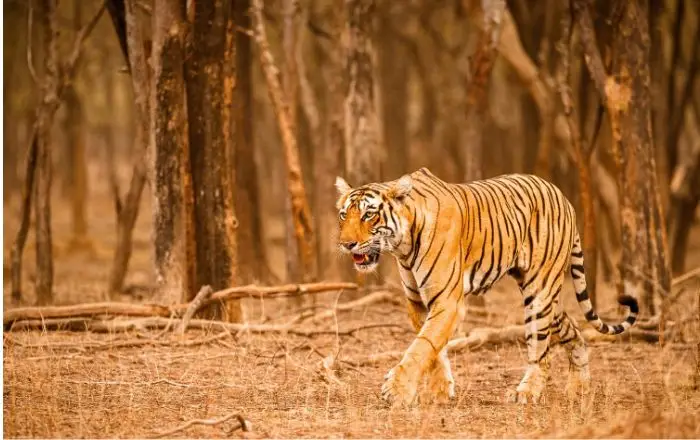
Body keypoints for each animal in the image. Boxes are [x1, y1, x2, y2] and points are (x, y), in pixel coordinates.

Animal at [335, 167, 638, 406]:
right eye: (343, 215)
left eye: (368, 215)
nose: (346, 244)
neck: (402, 245)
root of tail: (564, 198)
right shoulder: (418, 301)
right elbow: (435, 348)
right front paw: (440, 391)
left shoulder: (447, 300)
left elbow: (422, 345)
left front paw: (396, 390)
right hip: (547, 295)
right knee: (573, 330)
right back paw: (579, 388)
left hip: (539, 291)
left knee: (541, 348)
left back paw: (527, 392)